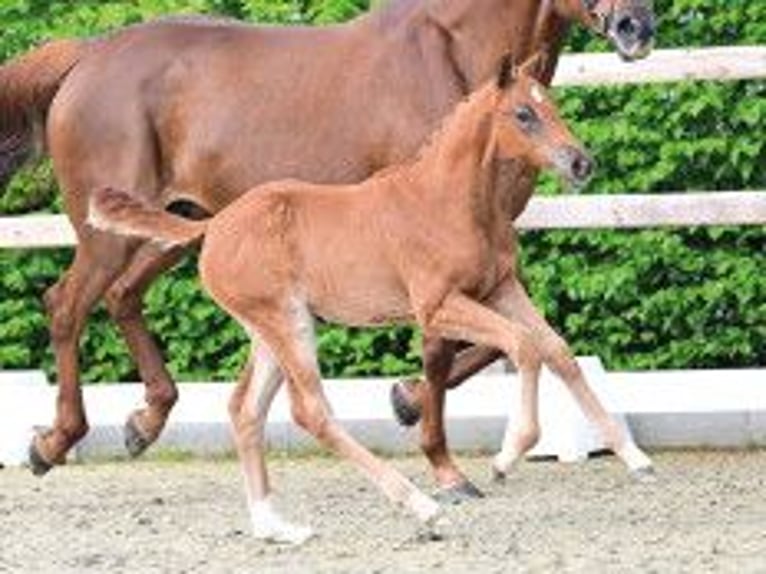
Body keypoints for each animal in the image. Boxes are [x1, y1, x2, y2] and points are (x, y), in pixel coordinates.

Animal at [0, 0, 655, 491]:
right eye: (523, 115)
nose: (638, 26)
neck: (451, 54)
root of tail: (87, 55)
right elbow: (456, 346)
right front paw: (438, 454)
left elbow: (516, 344)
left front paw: (407, 399)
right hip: (107, 234)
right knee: (67, 305)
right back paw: (53, 441)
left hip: (176, 224)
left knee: (121, 296)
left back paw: (144, 420)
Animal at [87, 54, 647, 544]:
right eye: (524, 114)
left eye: (551, 105)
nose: (581, 163)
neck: (449, 201)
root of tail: (215, 224)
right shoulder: (438, 305)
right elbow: (523, 346)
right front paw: (506, 457)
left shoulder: (500, 289)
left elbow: (557, 350)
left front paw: (635, 458)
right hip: (288, 323)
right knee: (310, 411)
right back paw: (420, 507)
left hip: (270, 330)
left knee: (245, 410)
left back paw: (275, 527)